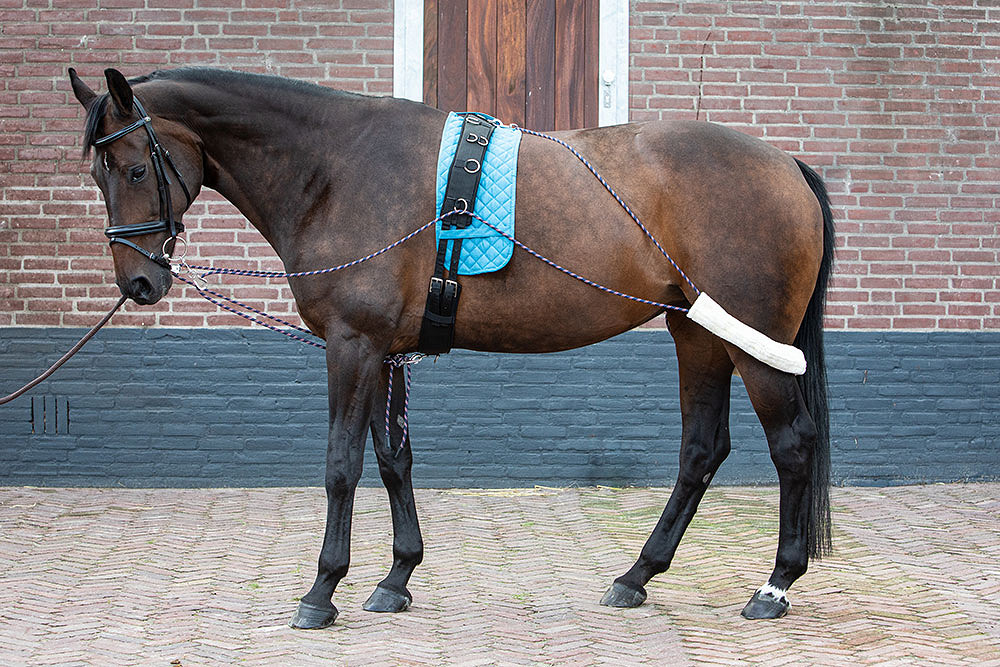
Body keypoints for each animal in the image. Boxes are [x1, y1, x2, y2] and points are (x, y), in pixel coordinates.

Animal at [68, 66, 834, 627]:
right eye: (98, 174)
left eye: (135, 169)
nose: (138, 281)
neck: (337, 166)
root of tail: (787, 165)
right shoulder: (385, 351)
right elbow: (393, 460)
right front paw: (397, 576)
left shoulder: (352, 345)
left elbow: (342, 464)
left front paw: (323, 590)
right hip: (698, 335)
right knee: (701, 450)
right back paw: (635, 575)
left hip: (753, 345)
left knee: (792, 444)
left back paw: (774, 586)